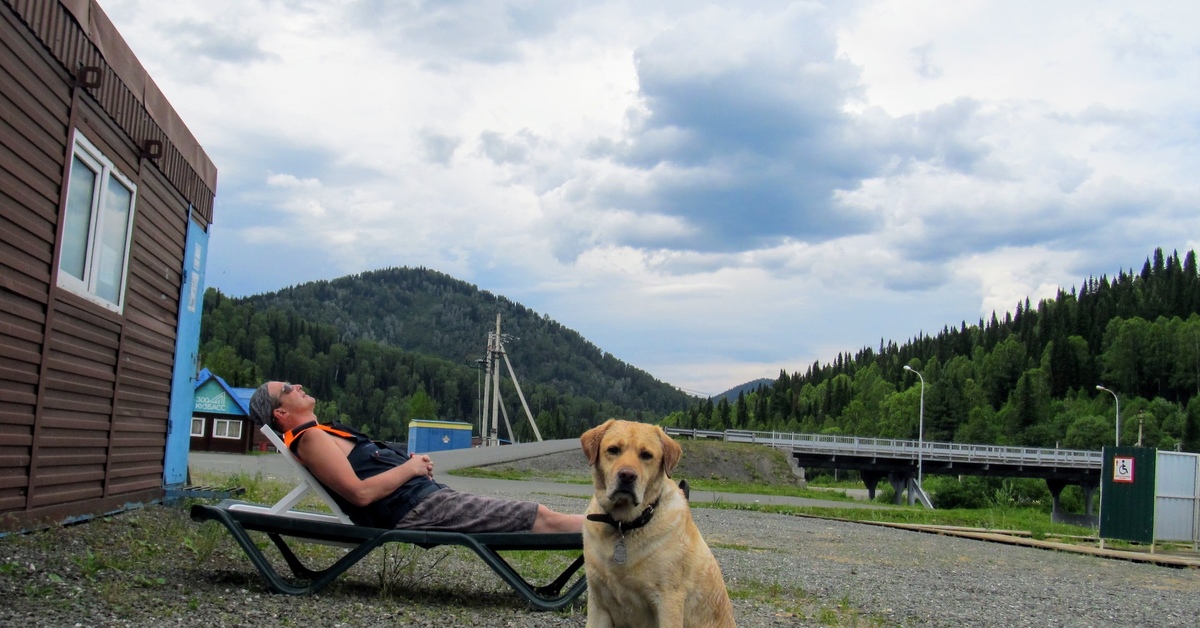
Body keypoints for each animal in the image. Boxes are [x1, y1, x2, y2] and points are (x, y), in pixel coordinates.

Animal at [578, 420, 734, 624]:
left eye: (646, 455)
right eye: (613, 450)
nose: (627, 475)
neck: (624, 525)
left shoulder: (668, 601)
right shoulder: (598, 601)